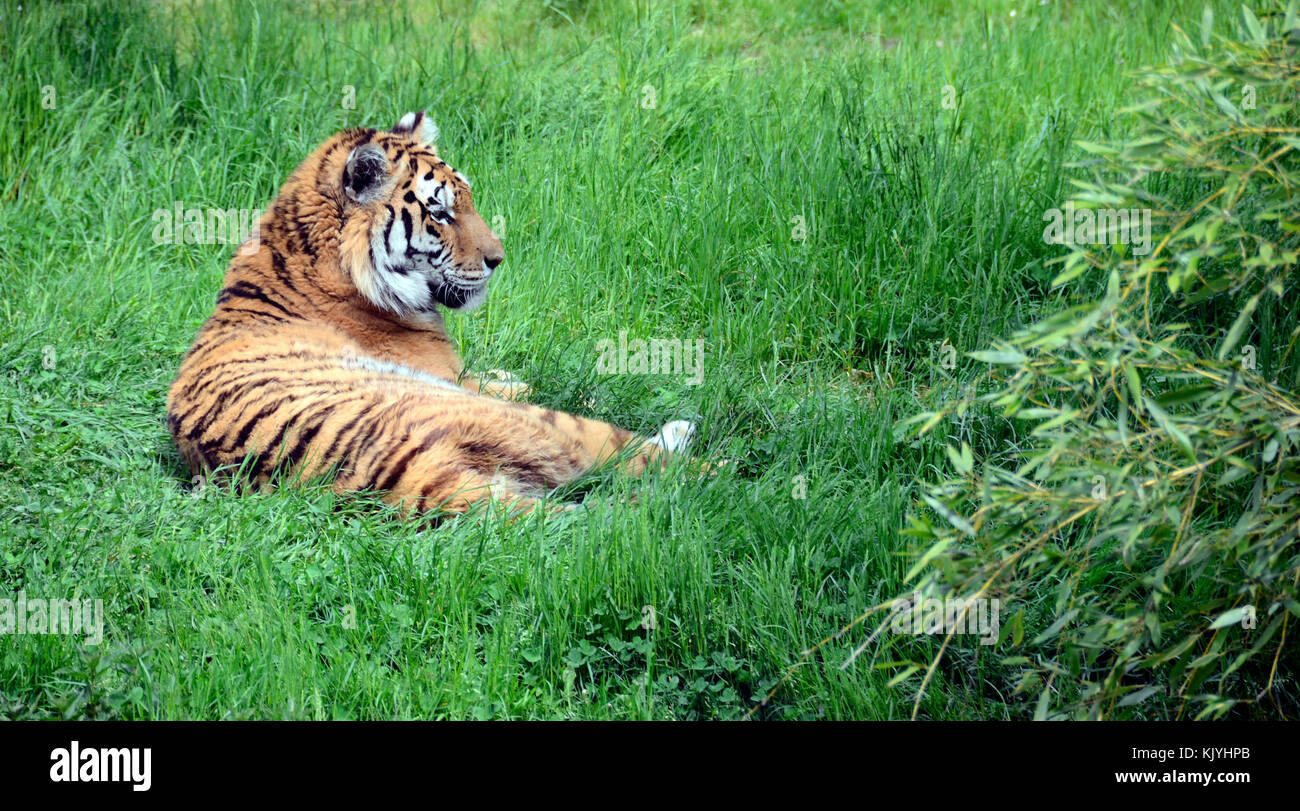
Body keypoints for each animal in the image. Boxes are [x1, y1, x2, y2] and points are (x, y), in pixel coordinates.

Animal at [170, 111, 702, 517]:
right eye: (441, 213)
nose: (499, 259)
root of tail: (401, 479)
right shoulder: (457, 378)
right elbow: (555, 391)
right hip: (520, 423)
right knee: (640, 455)